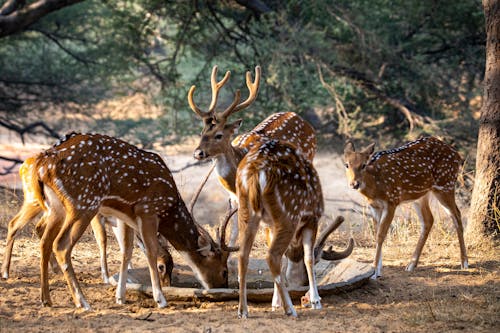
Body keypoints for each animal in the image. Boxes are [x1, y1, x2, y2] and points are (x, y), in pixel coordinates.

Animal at [1, 157, 174, 284]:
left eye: (172, 265)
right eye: (161, 266)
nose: (167, 284)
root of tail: (23, 166)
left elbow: (124, 243)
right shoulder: (97, 216)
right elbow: (104, 241)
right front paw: (106, 277)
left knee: (38, 226)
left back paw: (55, 269)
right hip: (34, 201)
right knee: (14, 223)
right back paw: (6, 273)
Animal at [23, 132, 234, 308]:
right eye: (224, 270)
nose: (221, 287)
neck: (169, 206)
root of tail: (41, 164)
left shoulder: (124, 216)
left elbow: (127, 251)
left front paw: (120, 297)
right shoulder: (147, 210)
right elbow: (150, 251)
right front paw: (160, 299)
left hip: (56, 207)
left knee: (45, 240)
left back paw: (46, 299)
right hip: (83, 204)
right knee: (61, 245)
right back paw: (82, 302)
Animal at [344, 135, 468, 278]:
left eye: (363, 165)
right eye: (346, 164)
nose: (354, 184)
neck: (375, 187)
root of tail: (457, 155)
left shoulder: (392, 201)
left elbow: (381, 235)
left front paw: (374, 271)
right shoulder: (374, 206)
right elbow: (376, 234)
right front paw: (377, 270)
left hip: (445, 184)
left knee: (457, 215)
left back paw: (464, 262)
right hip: (420, 195)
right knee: (429, 220)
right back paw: (411, 264)